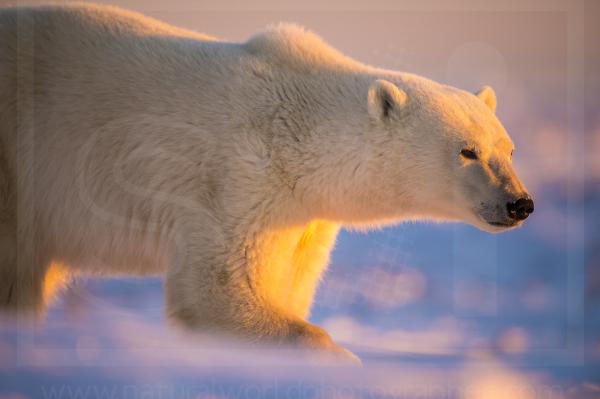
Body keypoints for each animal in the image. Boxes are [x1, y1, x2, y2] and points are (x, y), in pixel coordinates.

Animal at [0, 2, 536, 360]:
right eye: (467, 151)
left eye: (508, 149)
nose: (520, 203)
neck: (297, 130)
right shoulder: (240, 182)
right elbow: (220, 293)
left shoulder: (301, 215)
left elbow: (284, 288)